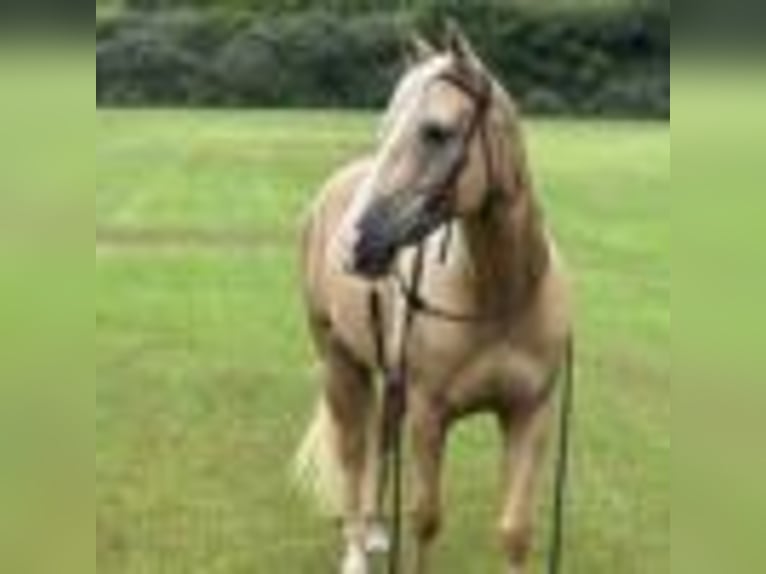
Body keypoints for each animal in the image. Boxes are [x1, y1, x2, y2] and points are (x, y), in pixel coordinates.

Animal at [294, 25, 572, 574]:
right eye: (384, 130)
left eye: (437, 132)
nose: (354, 246)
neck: (498, 296)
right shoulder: (429, 416)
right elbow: (425, 520)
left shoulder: (530, 415)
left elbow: (515, 531)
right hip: (339, 360)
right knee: (354, 449)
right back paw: (356, 548)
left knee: (378, 441)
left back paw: (375, 530)